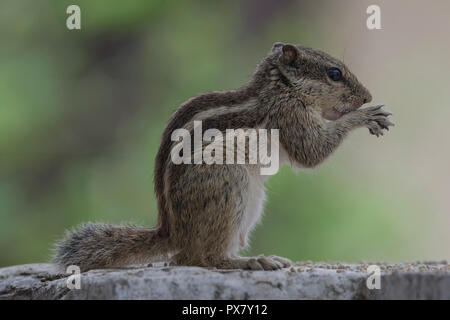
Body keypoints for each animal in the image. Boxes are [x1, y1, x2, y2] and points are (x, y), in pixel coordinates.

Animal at [53, 42, 394, 272]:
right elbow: (311, 151)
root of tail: (172, 232)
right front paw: (366, 116)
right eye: (334, 73)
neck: (281, 89)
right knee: (203, 259)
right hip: (228, 184)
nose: (367, 96)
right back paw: (253, 261)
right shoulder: (289, 116)